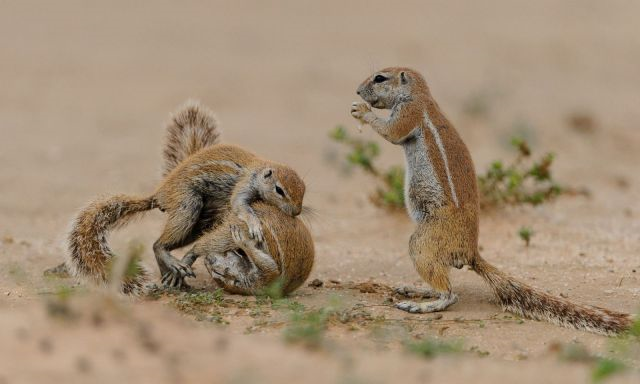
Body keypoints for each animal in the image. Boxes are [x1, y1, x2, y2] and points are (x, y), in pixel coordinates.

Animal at [66, 100, 306, 292]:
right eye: (279, 190)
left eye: (303, 190)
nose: (296, 212)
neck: (260, 169)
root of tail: (159, 195)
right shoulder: (244, 183)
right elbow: (240, 205)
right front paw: (254, 224)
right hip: (187, 204)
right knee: (158, 244)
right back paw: (172, 265)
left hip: (199, 223)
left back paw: (172, 274)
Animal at [352, 67, 632, 334]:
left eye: (379, 78)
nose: (357, 91)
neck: (419, 96)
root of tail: (470, 253)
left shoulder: (408, 113)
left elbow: (391, 132)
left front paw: (362, 111)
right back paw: (416, 289)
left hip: (424, 242)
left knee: (450, 294)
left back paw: (422, 305)